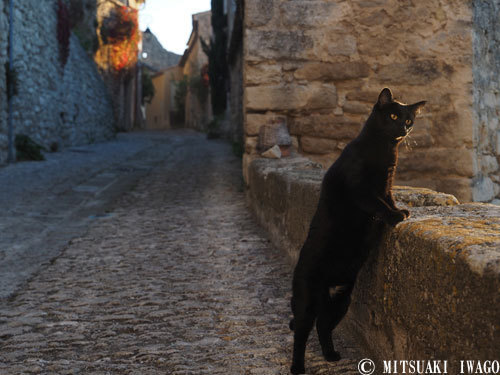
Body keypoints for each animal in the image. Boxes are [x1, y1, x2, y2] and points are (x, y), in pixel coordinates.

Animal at [290, 89, 426, 375]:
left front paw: (400, 211)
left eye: (409, 120)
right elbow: (378, 204)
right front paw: (395, 216)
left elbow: (389, 200)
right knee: (301, 334)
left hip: (341, 301)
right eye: (394, 116)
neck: (385, 150)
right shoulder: (361, 188)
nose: (403, 129)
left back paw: (330, 355)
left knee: (323, 326)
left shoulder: (387, 183)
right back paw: (297, 367)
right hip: (307, 300)